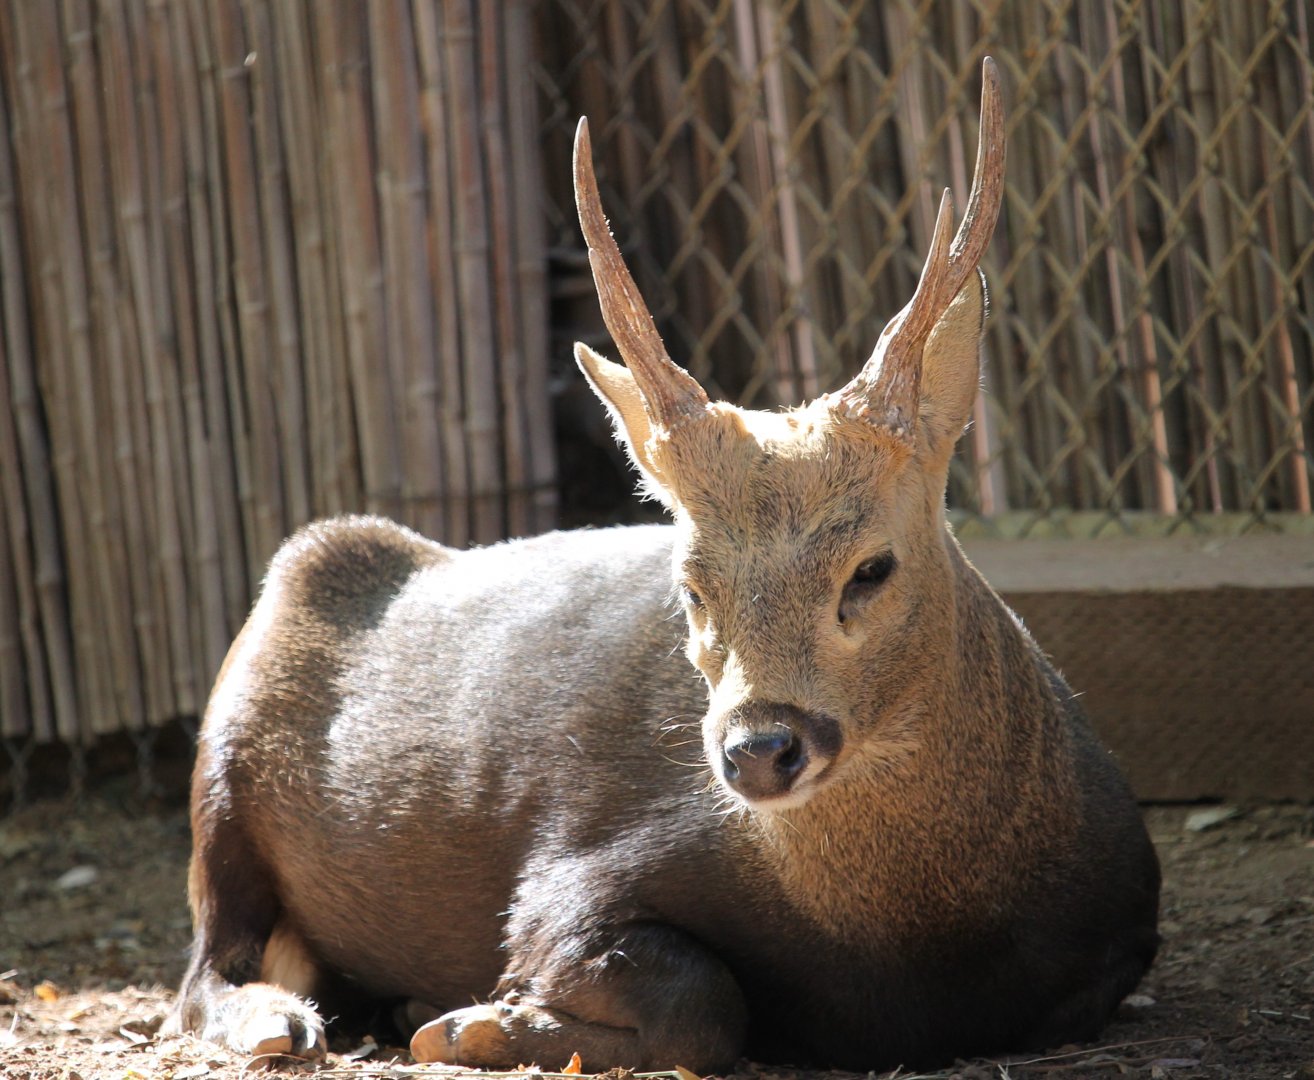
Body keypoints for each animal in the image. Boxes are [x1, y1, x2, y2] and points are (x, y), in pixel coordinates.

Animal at [166, 59, 1160, 1072]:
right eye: (691, 585)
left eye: (871, 568)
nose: (758, 750)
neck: (908, 946)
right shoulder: (574, 874)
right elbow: (705, 1005)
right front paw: (475, 1021)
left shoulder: (1124, 932)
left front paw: (464, 1016)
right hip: (222, 774)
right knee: (203, 969)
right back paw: (286, 1021)